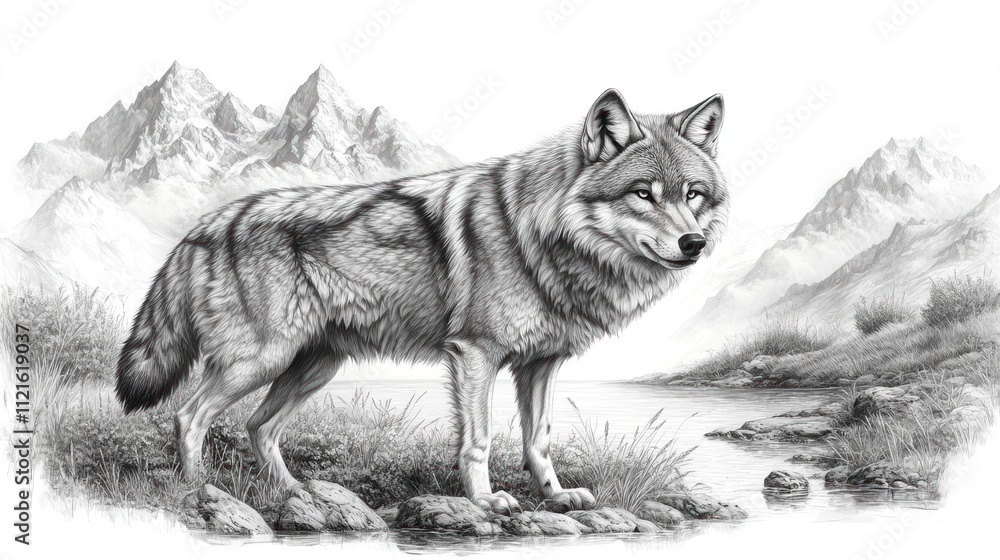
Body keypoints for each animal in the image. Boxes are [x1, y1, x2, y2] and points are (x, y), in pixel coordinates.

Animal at [116, 88, 728, 513]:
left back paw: (297, 494)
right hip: (260, 361)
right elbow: (479, 440)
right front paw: (485, 502)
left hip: (312, 367)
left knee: (259, 428)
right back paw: (200, 490)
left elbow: (539, 440)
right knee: (188, 415)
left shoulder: (541, 365)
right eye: (643, 194)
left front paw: (555, 496)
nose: (693, 243)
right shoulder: (475, 355)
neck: (540, 234)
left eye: (693, 195)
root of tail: (208, 222)